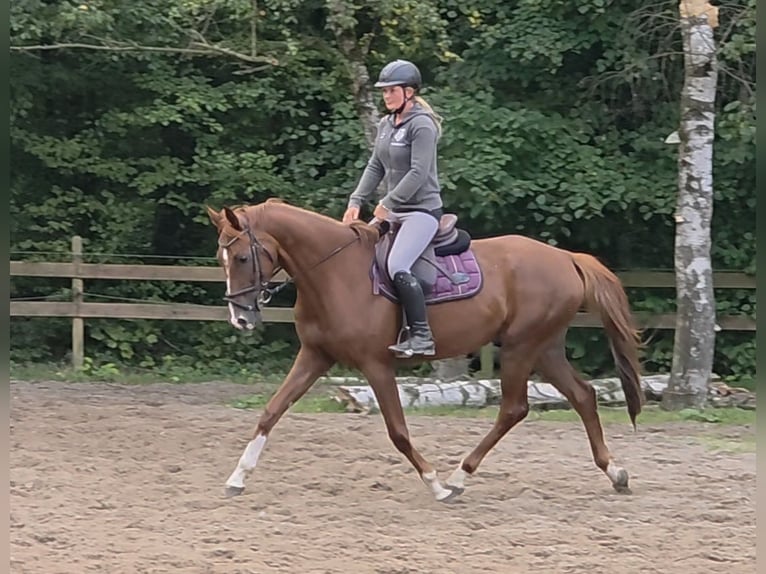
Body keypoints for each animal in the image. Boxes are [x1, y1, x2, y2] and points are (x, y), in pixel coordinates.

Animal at [206, 198, 644, 503]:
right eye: (220, 258)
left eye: (242, 257)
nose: (240, 319)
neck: (334, 273)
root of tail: (566, 257)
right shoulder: (315, 356)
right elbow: (271, 411)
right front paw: (236, 478)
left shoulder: (376, 364)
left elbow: (398, 432)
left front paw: (435, 484)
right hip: (545, 348)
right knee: (583, 396)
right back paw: (616, 473)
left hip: (522, 347)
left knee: (514, 409)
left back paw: (458, 477)